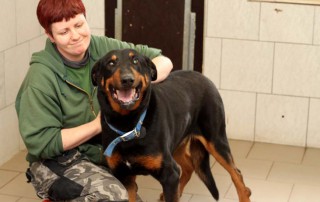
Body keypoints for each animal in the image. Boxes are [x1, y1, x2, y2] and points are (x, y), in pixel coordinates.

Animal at [91, 49, 251, 202]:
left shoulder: (169, 175)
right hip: (177, 144)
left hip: (216, 140)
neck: (128, 125)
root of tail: (202, 76)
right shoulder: (125, 178)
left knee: (237, 173)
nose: (127, 79)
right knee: (188, 167)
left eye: (135, 61)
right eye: (111, 63)